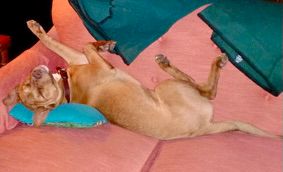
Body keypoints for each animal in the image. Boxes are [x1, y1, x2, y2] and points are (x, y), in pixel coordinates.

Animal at [2, 20, 280, 140]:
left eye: (29, 86)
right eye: (38, 95)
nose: (37, 73)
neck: (68, 89)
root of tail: (203, 128)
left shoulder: (78, 58)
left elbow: (62, 43)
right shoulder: (101, 66)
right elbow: (87, 45)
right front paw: (103, 43)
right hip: (170, 88)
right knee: (207, 90)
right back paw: (179, 63)